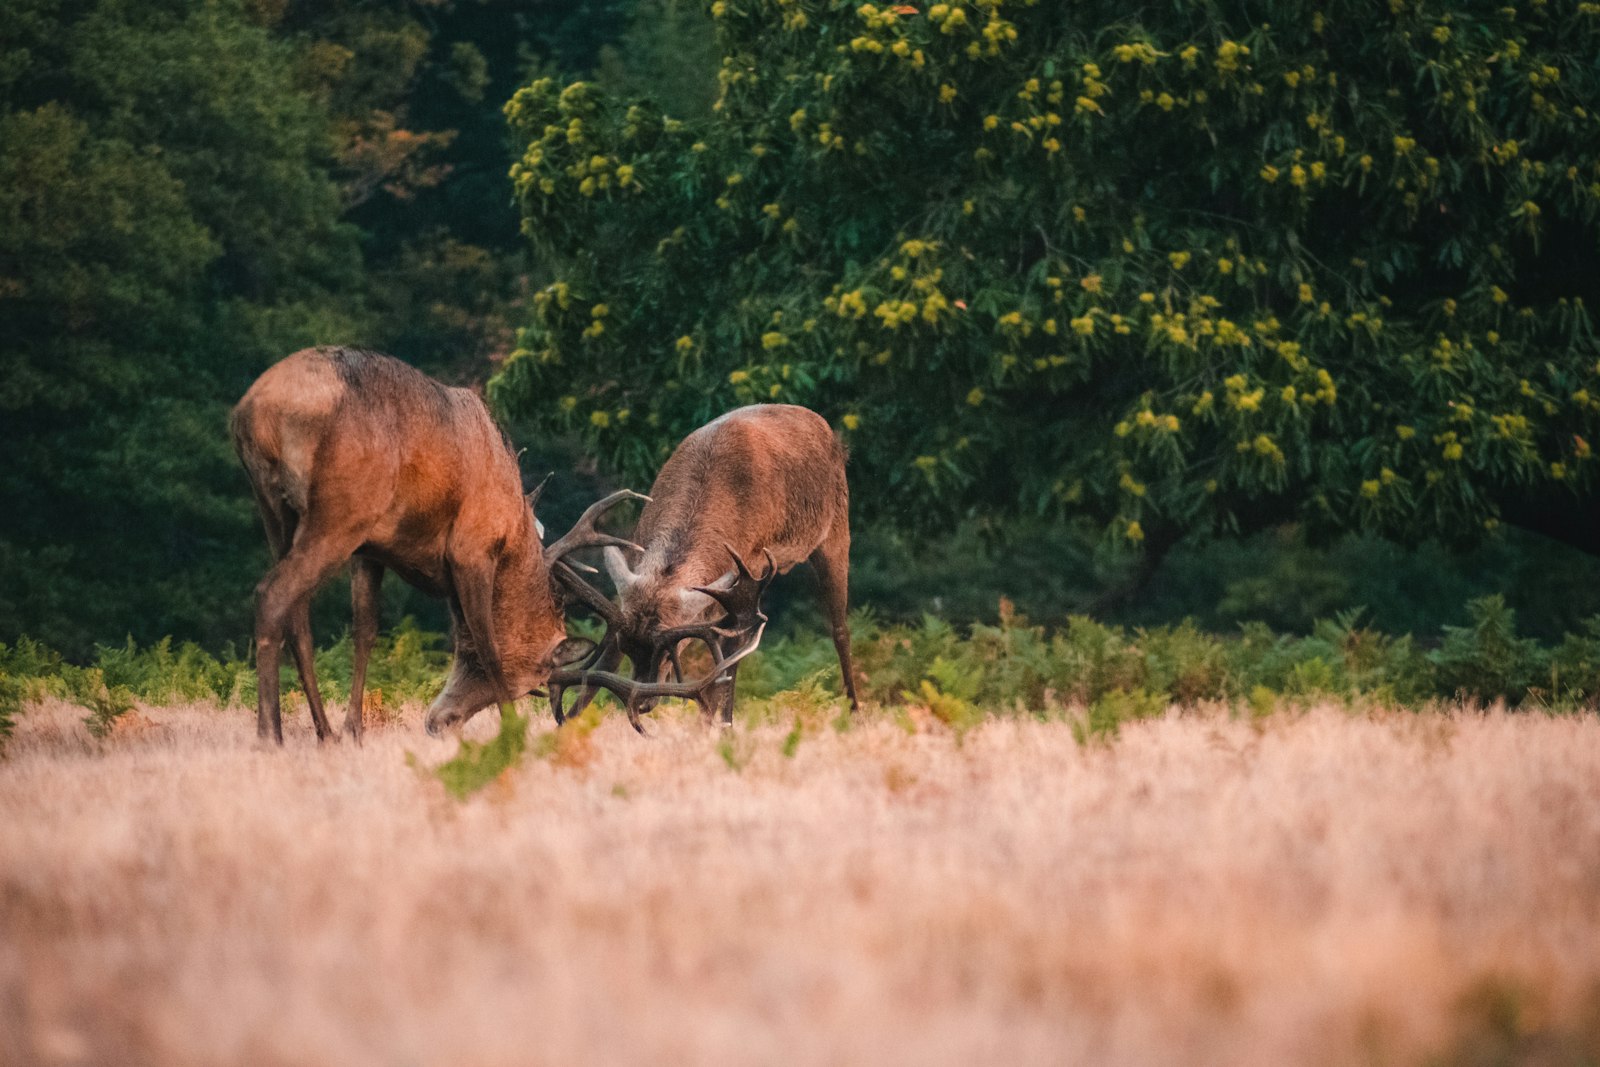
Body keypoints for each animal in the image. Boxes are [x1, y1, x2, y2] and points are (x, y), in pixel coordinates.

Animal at [233, 348, 643, 742]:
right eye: (532, 684)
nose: (441, 721)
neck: (513, 530)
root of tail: (254, 412)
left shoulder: (370, 550)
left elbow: (365, 632)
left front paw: (354, 731)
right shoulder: (471, 549)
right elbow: (489, 644)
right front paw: (513, 729)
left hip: (276, 510)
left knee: (297, 614)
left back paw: (325, 732)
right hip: (340, 513)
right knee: (272, 593)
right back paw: (269, 734)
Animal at [560, 404, 870, 729]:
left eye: (670, 654)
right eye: (628, 648)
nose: (643, 703)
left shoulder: (751, 567)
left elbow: (733, 655)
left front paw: (723, 726)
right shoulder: (638, 551)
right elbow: (607, 655)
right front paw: (570, 719)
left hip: (836, 531)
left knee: (839, 629)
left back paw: (855, 713)